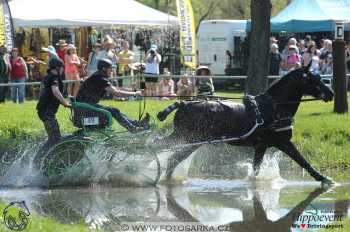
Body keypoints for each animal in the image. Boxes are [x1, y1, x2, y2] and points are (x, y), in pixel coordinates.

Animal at [157, 65, 334, 185]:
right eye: (314, 79)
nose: (331, 93)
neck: (274, 107)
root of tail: (184, 103)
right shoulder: (284, 142)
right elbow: (303, 161)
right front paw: (324, 179)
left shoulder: (261, 146)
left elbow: (256, 169)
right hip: (191, 140)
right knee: (170, 156)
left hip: (185, 139)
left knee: (168, 154)